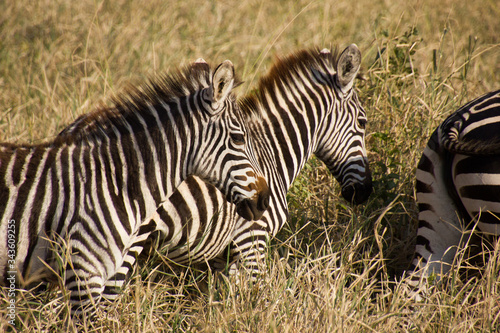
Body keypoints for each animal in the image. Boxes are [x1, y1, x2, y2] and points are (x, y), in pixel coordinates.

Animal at [104, 44, 372, 290]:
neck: (271, 153)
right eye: (363, 122)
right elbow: (255, 298)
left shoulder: (224, 257)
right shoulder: (252, 240)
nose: (364, 192)